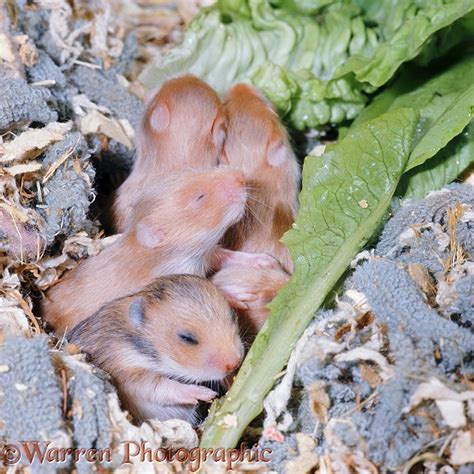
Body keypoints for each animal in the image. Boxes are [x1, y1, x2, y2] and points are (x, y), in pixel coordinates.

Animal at [40, 168, 246, 336]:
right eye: (199, 198)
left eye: (195, 172)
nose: (241, 176)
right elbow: (214, 287)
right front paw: (239, 297)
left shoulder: (205, 254)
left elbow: (224, 255)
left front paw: (253, 260)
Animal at [69, 276, 244, 424]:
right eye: (187, 338)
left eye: (233, 316)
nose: (235, 363)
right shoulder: (125, 373)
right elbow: (163, 387)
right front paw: (207, 394)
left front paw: (231, 380)